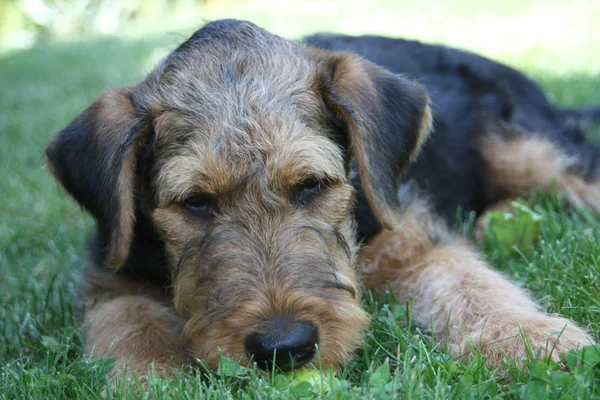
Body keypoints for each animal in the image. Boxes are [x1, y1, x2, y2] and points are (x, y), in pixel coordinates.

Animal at [44, 20, 596, 378]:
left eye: (311, 184)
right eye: (195, 202)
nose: (282, 347)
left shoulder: (408, 237)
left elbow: (470, 283)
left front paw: (534, 338)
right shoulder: (112, 273)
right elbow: (127, 326)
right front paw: (154, 378)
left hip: (526, 148)